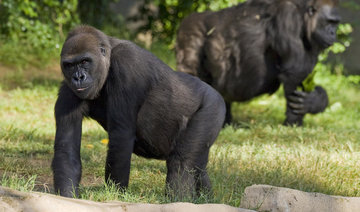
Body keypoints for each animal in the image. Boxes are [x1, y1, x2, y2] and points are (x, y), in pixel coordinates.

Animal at [51, 25, 225, 199]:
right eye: (69, 65)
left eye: (85, 61)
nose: (78, 77)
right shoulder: (67, 90)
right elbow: (66, 149)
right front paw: (67, 197)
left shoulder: (126, 65)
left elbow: (121, 136)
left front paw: (116, 192)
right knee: (198, 165)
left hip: (213, 106)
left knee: (182, 162)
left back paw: (179, 199)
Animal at [176, 0, 340, 126]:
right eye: (329, 22)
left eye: (336, 23)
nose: (333, 33)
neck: (303, 11)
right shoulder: (288, 16)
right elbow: (296, 73)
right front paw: (294, 122)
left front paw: (315, 101)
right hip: (190, 31)